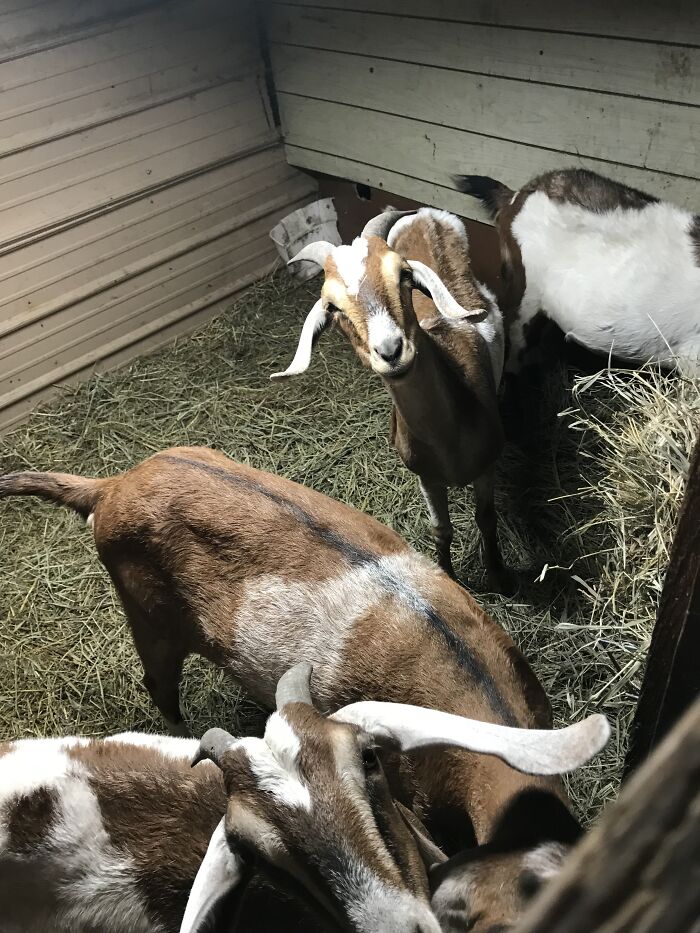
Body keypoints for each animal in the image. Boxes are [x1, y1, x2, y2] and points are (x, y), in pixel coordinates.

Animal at [272, 207, 512, 593]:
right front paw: (448, 576)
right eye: (332, 306)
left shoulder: (486, 466)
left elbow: (486, 517)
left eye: (404, 275)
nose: (391, 351)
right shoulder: (426, 476)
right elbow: (441, 529)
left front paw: (499, 576)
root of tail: (426, 214)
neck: (448, 440)